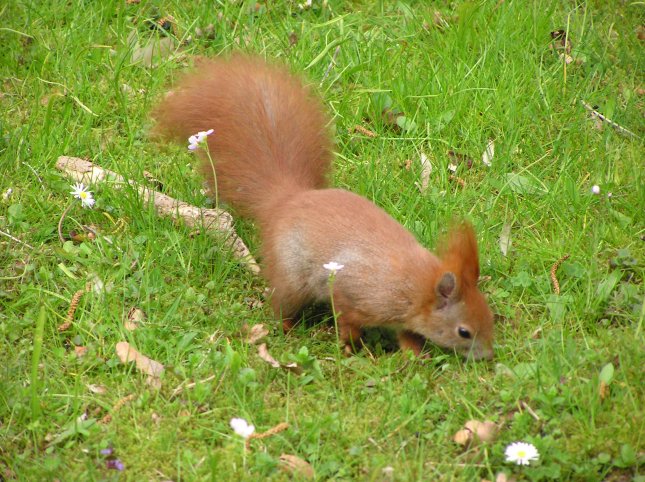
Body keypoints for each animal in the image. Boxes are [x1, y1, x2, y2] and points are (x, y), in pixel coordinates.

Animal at [152, 55, 494, 360]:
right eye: (464, 331)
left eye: (490, 315)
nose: (489, 356)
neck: (417, 285)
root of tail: (285, 201)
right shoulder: (355, 292)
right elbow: (347, 318)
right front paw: (350, 345)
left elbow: (407, 335)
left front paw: (415, 355)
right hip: (292, 277)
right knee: (281, 303)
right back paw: (286, 328)